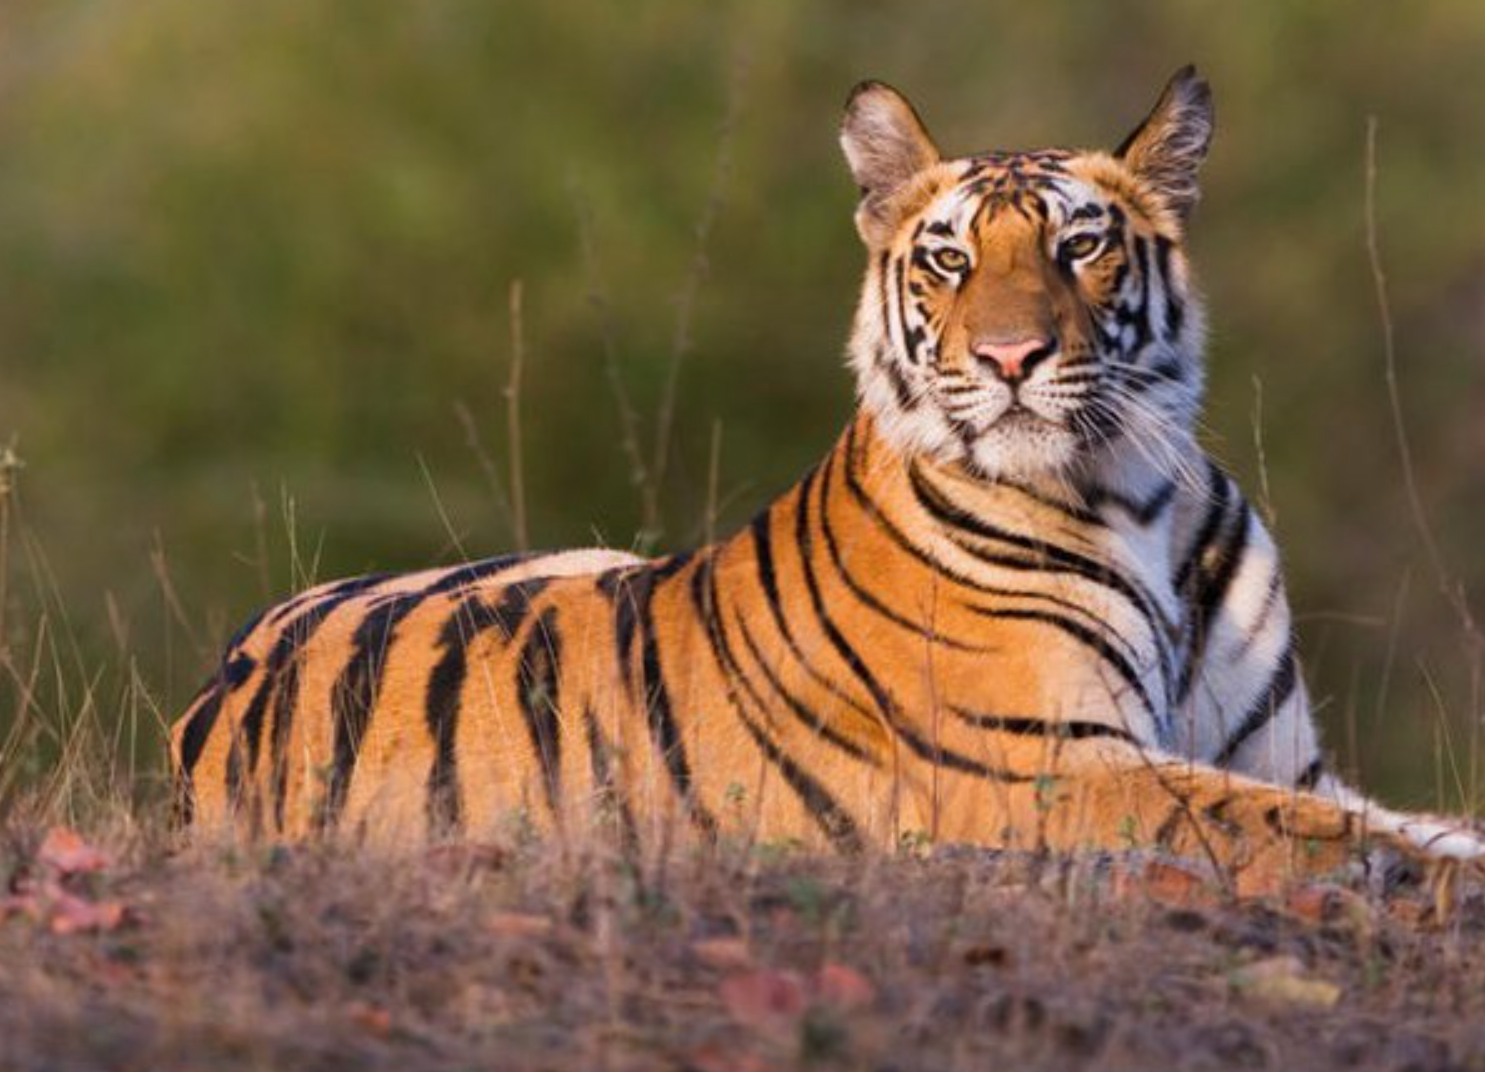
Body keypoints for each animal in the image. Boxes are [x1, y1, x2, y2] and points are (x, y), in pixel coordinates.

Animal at [168, 69, 1479, 884]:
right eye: (950, 260)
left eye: (1080, 245)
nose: (1010, 357)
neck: (1138, 495)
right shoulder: (1045, 763)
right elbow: (1302, 830)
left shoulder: (1278, 752)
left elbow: (1374, 812)